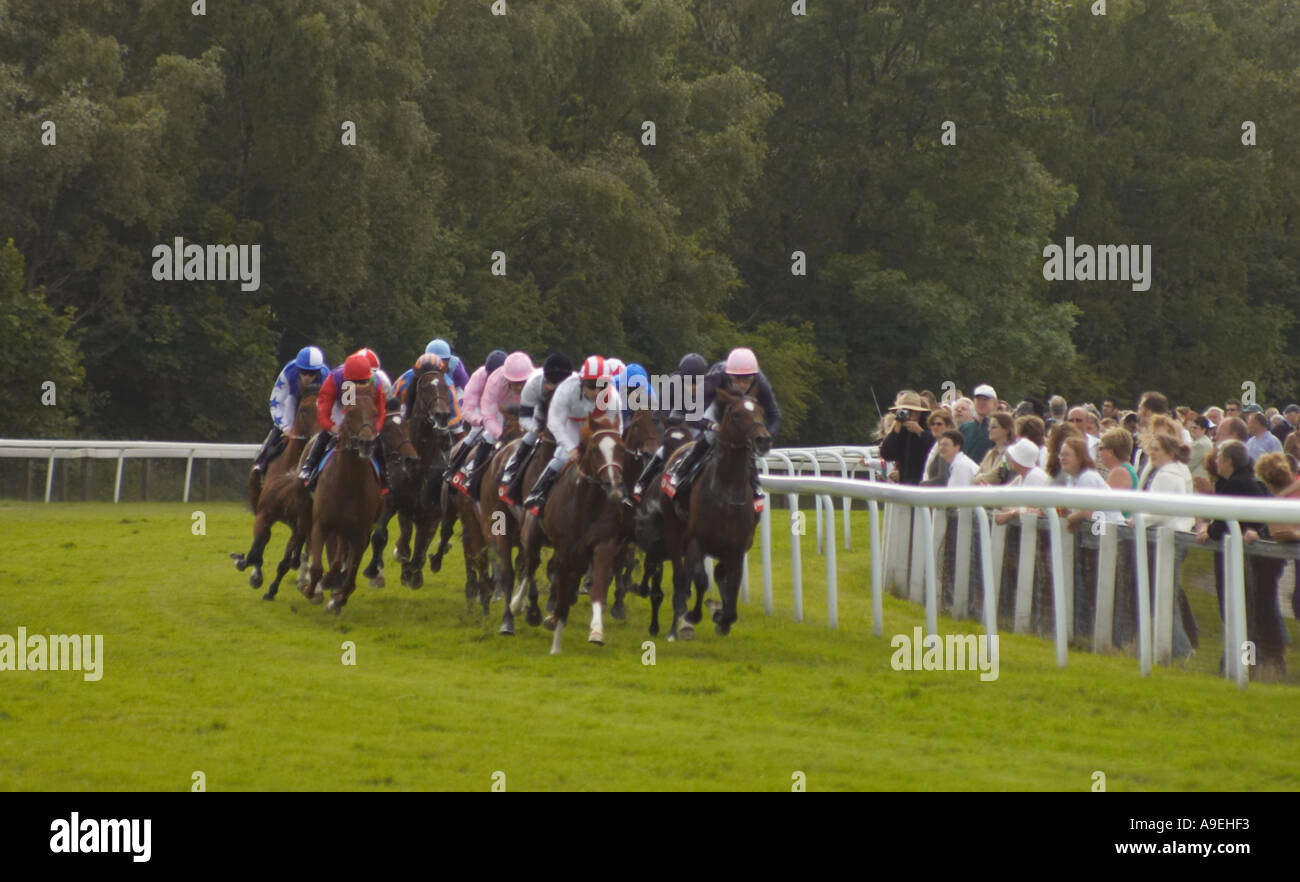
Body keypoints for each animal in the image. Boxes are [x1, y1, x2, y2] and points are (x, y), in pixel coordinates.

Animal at [302, 379, 382, 614]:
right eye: (350, 412)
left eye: (375, 413)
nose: (366, 443)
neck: (348, 483)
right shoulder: (321, 524)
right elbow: (318, 567)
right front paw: (312, 589)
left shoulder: (361, 532)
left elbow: (350, 574)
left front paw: (338, 597)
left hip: (348, 530)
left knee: (341, 558)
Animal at [517, 411, 624, 653]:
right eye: (594, 449)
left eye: (620, 448)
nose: (613, 487)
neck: (587, 504)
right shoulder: (566, 550)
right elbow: (563, 593)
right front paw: (556, 644)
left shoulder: (603, 545)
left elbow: (596, 588)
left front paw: (596, 631)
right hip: (533, 534)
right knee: (530, 566)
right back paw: (517, 603)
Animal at [655, 392, 764, 642]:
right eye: (736, 414)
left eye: (760, 411)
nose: (764, 439)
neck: (727, 492)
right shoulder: (697, 541)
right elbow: (700, 580)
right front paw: (693, 615)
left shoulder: (736, 549)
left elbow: (731, 587)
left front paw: (723, 618)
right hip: (674, 531)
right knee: (681, 577)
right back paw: (676, 625)